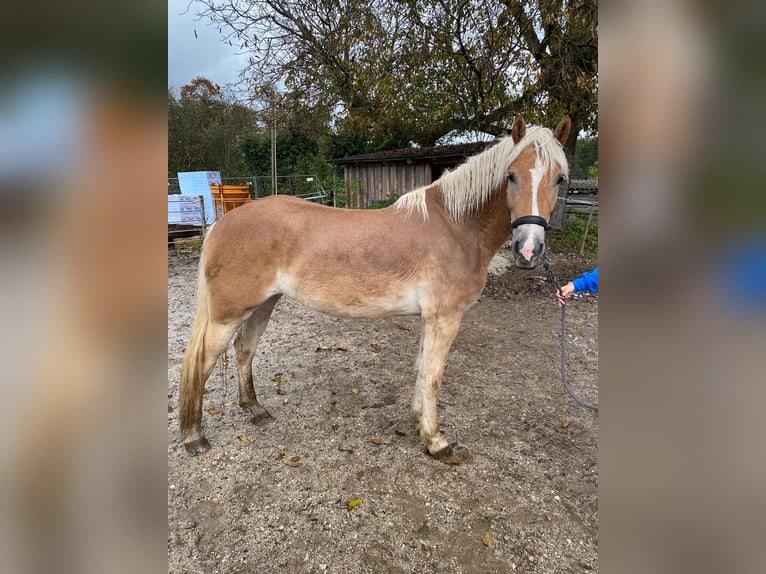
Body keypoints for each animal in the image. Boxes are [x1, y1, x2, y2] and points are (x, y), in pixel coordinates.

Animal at [180, 116, 568, 464]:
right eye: (511, 175)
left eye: (560, 179)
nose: (529, 250)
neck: (456, 226)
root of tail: (221, 224)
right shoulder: (445, 317)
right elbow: (433, 377)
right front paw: (437, 443)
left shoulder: (430, 318)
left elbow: (421, 369)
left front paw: (417, 423)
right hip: (228, 313)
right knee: (202, 362)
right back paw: (193, 437)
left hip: (264, 303)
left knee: (245, 349)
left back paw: (255, 410)